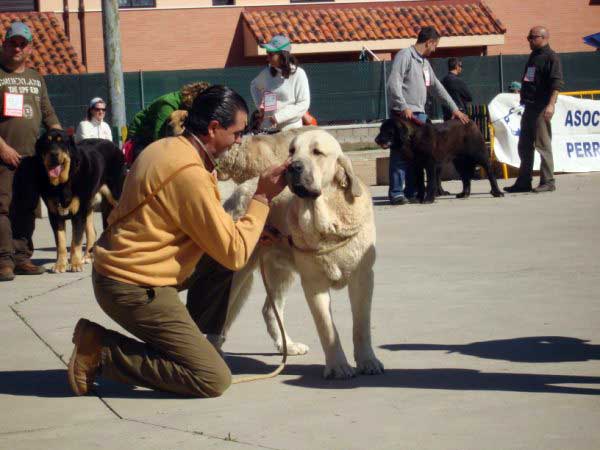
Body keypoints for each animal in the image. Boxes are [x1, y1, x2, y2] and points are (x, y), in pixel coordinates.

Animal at [35, 128, 125, 272]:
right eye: (46, 142)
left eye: (62, 142)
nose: (54, 154)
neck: (62, 184)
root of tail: (114, 145)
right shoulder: (54, 214)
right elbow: (60, 242)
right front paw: (60, 264)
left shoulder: (78, 214)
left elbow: (75, 241)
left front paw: (75, 263)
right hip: (88, 205)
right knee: (92, 232)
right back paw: (87, 256)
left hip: (115, 196)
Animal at [218, 128, 382, 378]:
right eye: (292, 151)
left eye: (317, 152)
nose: (292, 167)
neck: (328, 224)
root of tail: (240, 190)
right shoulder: (314, 283)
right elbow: (327, 327)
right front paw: (338, 366)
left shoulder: (362, 277)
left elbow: (361, 325)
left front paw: (367, 361)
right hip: (238, 274)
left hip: (280, 272)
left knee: (269, 309)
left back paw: (288, 345)